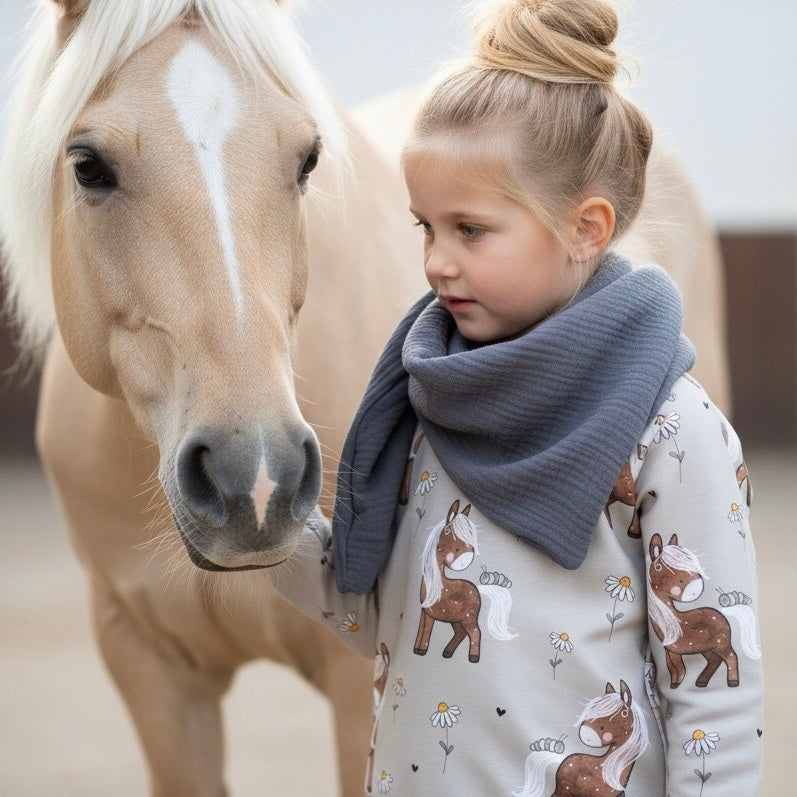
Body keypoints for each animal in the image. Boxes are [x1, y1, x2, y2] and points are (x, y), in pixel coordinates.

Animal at [414, 499, 516, 663]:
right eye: (448, 532)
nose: (467, 559)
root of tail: (478, 589)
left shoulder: (431, 614)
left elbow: (426, 632)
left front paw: (422, 650)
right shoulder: (424, 612)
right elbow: (420, 631)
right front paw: (416, 649)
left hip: (469, 617)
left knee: (475, 632)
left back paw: (473, 657)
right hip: (456, 619)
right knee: (461, 633)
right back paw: (447, 652)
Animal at [647, 533, 761, 688]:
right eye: (658, 566)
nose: (695, 586)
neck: (673, 620)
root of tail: (723, 615)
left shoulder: (675, 650)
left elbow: (678, 667)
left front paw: (676, 684)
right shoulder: (669, 650)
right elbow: (671, 667)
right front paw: (675, 682)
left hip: (721, 643)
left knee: (731, 656)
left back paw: (732, 682)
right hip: (707, 648)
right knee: (715, 661)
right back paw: (701, 681)